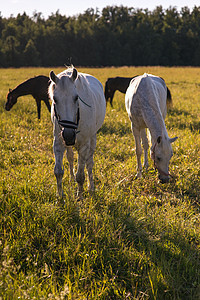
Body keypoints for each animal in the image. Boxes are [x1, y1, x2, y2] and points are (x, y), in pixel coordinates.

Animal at [49, 67, 106, 198]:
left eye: (76, 98)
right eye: (55, 99)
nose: (69, 135)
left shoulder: (84, 145)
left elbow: (80, 176)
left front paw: (79, 197)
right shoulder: (58, 142)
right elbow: (58, 171)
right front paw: (60, 197)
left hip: (92, 138)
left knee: (89, 162)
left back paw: (91, 187)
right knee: (70, 157)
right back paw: (71, 179)